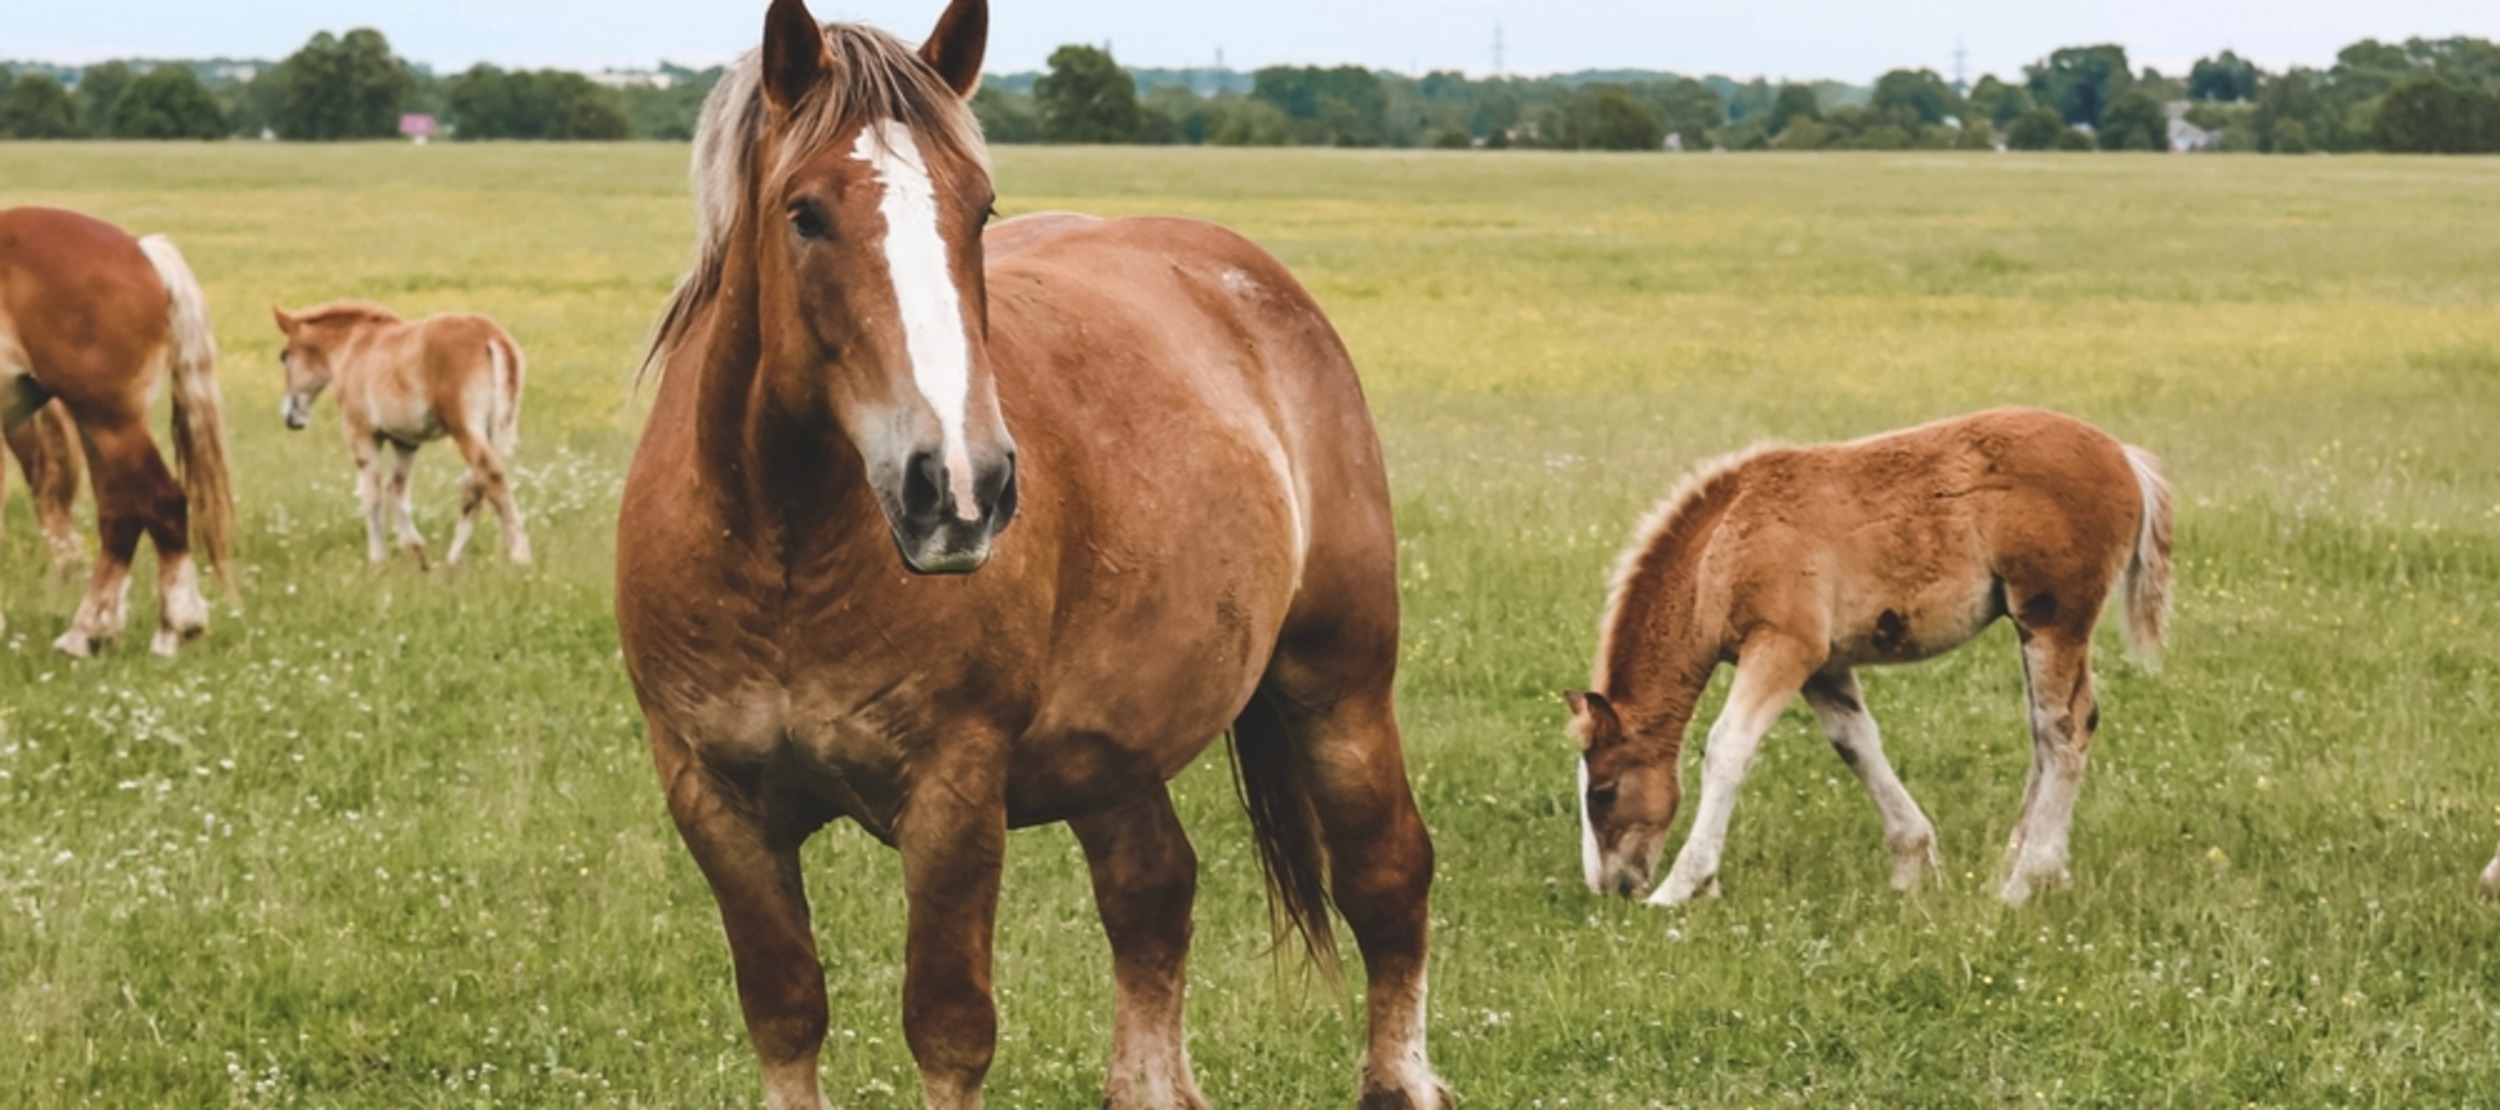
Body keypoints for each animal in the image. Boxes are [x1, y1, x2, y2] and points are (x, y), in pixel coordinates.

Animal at [272, 301, 531, 568]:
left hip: (465, 430)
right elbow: (396, 493)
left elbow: (372, 496)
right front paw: (416, 551)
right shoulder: (406, 442)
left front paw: (378, 560)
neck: (355, 345)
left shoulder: (360, 433)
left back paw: (521, 558)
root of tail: (491, 335)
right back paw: (452, 560)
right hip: (494, 432)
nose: (291, 417)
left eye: (284, 356)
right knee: (476, 486)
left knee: (492, 476)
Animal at [614, 3, 1446, 1107]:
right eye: (804, 213)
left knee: (1386, 876)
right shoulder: (715, 802)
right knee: (1152, 890)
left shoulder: (954, 795)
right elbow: (784, 1010)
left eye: (979, 209)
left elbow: (948, 1026)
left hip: (1338, 684)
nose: (959, 486)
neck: (779, 547)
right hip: (1118, 747)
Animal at [1567, 407, 2172, 908]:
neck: (1723, 546)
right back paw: (2018, 870)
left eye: (1602, 792)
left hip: (2052, 620)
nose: (1609, 888)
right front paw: (1911, 865)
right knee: (2047, 734)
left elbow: (1727, 747)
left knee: (2065, 729)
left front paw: (1683, 886)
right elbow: (1855, 743)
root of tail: (2124, 456)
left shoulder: (1783, 645)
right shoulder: (1823, 664)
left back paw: (2025, 883)